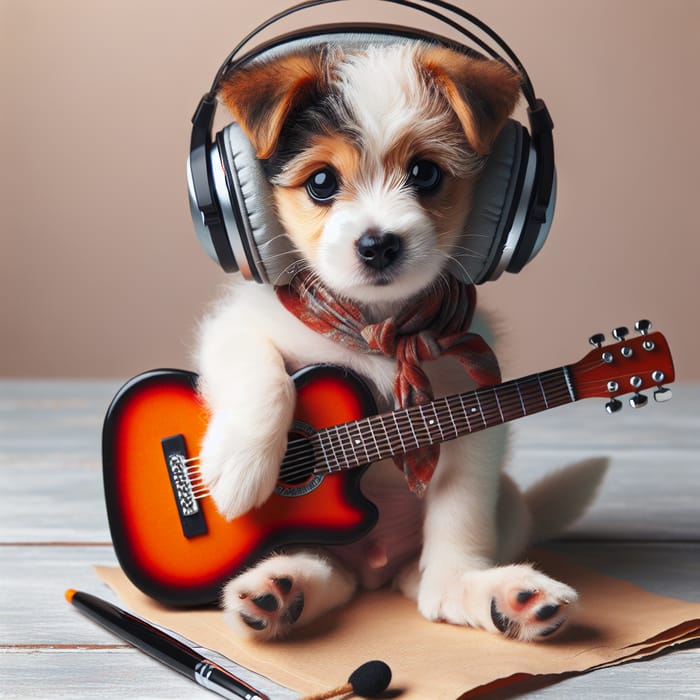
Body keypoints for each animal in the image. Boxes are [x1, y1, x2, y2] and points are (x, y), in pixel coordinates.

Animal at [194, 38, 604, 640]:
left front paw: (458, 584)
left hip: (499, 506)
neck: (379, 329)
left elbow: (460, 509)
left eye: (425, 173)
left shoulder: (472, 410)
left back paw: (497, 596)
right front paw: (243, 462)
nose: (378, 245)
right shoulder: (237, 325)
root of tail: (374, 565)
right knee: (324, 568)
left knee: (409, 572)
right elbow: (262, 376)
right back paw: (276, 590)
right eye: (321, 182)